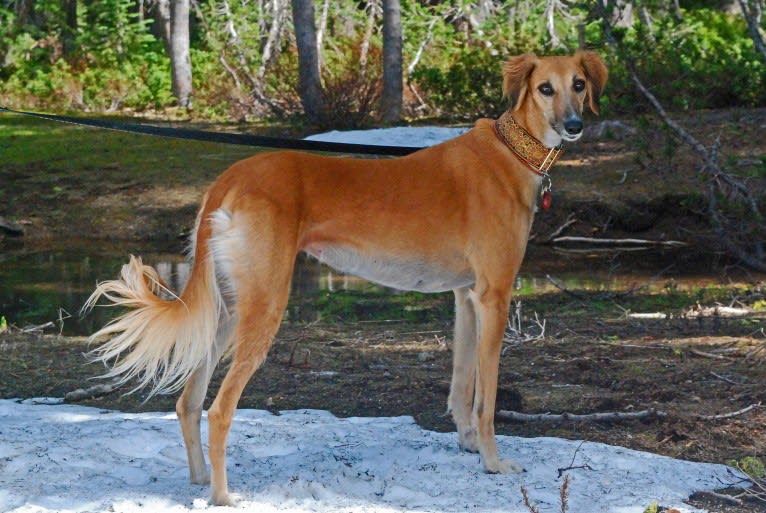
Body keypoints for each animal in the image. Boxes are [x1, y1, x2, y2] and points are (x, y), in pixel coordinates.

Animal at [84, 50, 608, 506]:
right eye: (545, 88)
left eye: (578, 85)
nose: (574, 126)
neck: (511, 152)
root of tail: (229, 178)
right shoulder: (494, 296)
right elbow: (488, 398)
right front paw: (495, 463)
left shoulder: (466, 296)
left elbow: (462, 387)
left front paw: (468, 446)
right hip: (263, 307)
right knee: (219, 409)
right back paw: (222, 496)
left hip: (228, 310)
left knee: (188, 402)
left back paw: (197, 480)